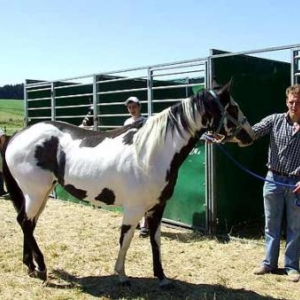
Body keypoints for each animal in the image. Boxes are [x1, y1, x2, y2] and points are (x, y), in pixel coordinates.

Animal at [1, 81, 255, 288]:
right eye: (233, 108)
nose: (250, 135)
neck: (150, 153)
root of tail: (16, 136)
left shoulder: (157, 207)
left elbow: (155, 241)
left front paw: (162, 278)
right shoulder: (134, 208)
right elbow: (126, 239)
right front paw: (122, 275)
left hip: (40, 195)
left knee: (28, 224)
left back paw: (31, 267)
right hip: (35, 194)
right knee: (25, 222)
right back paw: (42, 267)